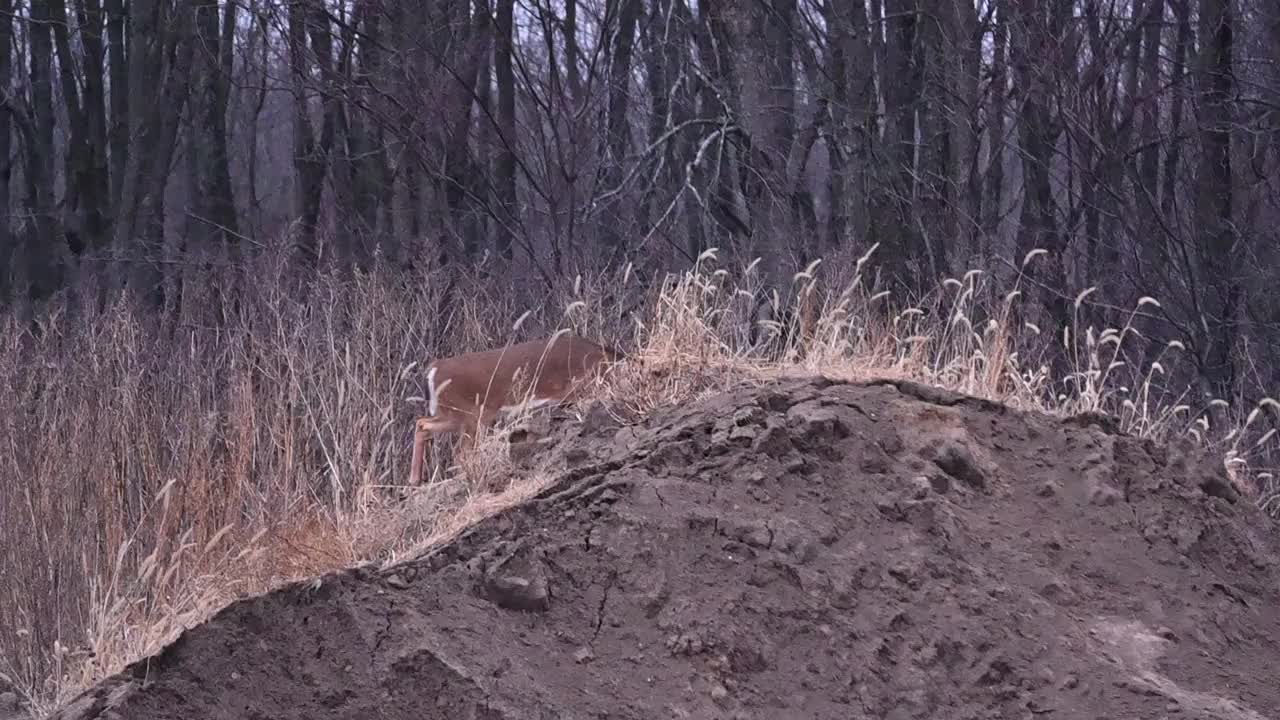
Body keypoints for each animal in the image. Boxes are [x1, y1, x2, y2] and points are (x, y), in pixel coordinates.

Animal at [409, 330, 624, 481]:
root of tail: (434, 369)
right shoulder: (579, 388)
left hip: (454, 413)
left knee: (422, 424)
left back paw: (414, 481)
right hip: (471, 413)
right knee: (460, 452)